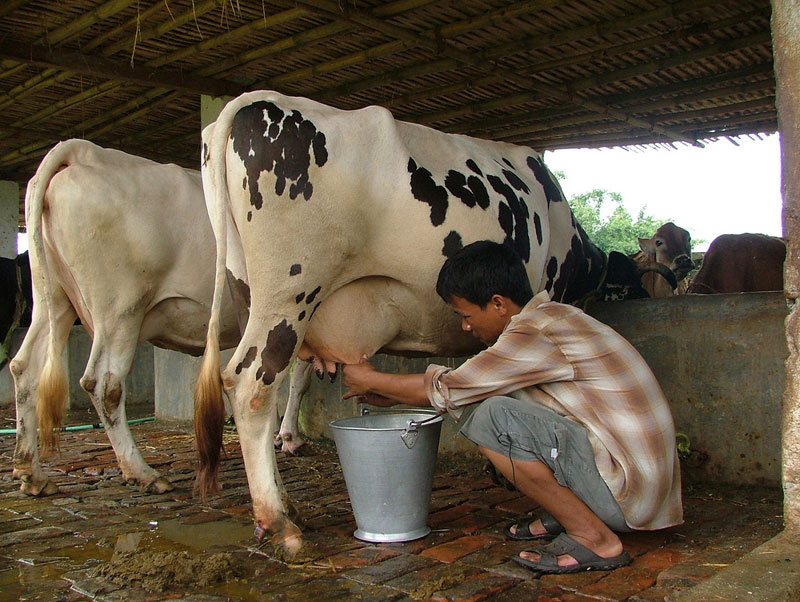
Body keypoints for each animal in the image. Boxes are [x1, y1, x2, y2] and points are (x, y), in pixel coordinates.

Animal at [9, 138, 241, 494]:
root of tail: (86, 152)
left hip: (54, 298)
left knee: (26, 367)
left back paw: (31, 473)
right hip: (120, 307)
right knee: (104, 383)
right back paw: (142, 472)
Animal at [195, 91, 656, 556]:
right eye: (634, 281)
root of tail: (256, 100)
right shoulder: (551, 287)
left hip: (247, 288)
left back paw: (290, 508)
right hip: (290, 289)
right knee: (251, 387)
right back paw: (280, 524)